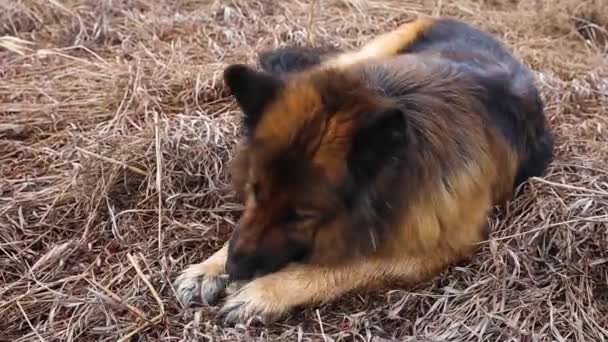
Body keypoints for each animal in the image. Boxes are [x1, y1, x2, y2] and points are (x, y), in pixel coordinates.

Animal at [173, 16, 552, 324]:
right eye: (253, 191)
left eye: (301, 216)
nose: (234, 269)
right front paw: (210, 267)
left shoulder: (436, 245)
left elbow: (342, 265)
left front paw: (266, 292)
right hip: (366, 56)